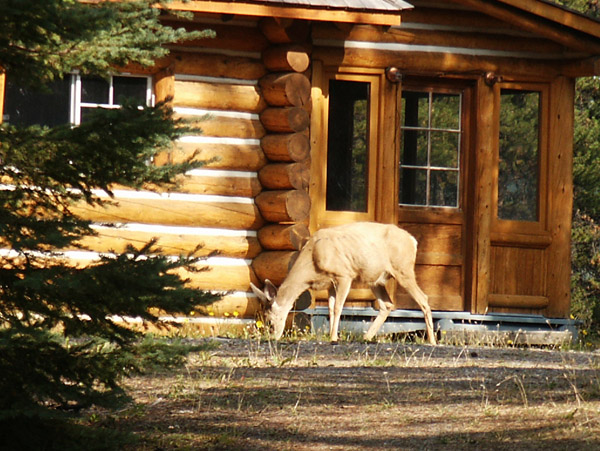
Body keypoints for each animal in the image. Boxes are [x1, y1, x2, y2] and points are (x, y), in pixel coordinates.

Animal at [248, 222, 436, 346]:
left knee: (423, 298)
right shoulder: (331, 282)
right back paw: (367, 337)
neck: (313, 258)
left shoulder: (344, 274)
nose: (272, 337)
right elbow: (331, 309)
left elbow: (339, 307)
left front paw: (333, 338)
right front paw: (332, 335)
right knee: (387, 304)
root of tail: (413, 241)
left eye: (270, 320)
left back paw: (432, 341)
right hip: (375, 279)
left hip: (403, 269)